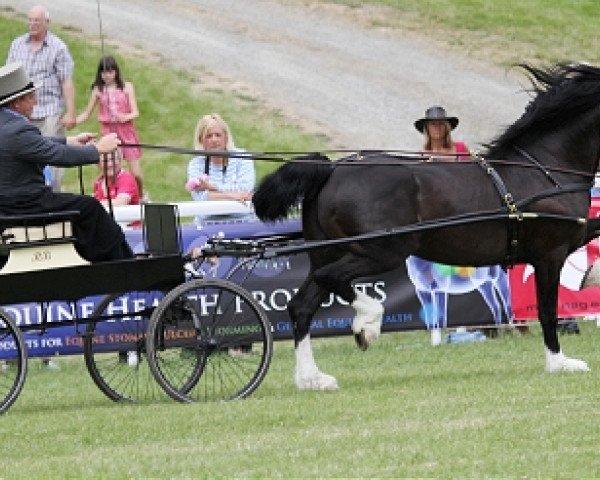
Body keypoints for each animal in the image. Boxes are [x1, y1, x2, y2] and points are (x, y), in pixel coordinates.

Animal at [252, 62, 600, 390]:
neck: (544, 170)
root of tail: (332, 170)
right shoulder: (550, 255)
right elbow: (547, 310)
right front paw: (560, 363)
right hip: (382, 250)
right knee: (330, 280)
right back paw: (367, 326)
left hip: (328, 251)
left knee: (302, 305)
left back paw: (312, 379)